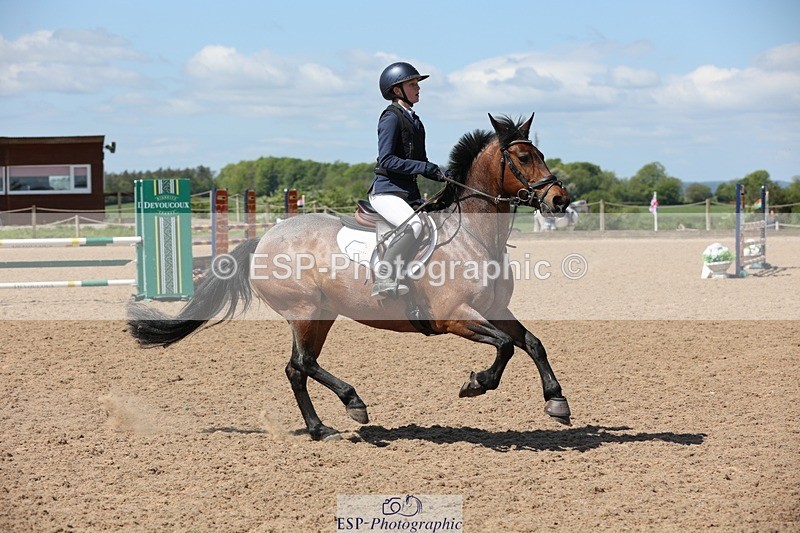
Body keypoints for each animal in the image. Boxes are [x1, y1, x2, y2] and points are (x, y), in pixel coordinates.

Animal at [128, 113, 573, 441]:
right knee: (302, 363)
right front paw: (476, 383)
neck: (475, 237)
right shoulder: (455, 317)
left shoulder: (494, 309)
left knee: (296, 368)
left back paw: (320, 428)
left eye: (540, 152)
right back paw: (352, 404)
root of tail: (265, 237)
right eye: (523, 156)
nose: (559, 200)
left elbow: (532, 343)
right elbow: (505, 347)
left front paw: (556, 401)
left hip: (321, 315)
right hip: (304, 311)